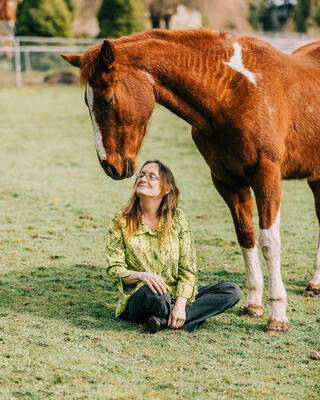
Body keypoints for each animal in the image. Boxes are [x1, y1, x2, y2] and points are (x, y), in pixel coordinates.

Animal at [62, 29, 320, 332]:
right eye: (88, 102)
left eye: (107, 99)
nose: (110, 166)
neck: (235, 93)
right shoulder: (228, 182)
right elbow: (246, 236)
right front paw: (253, 304)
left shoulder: (267, 177)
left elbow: (269, 243)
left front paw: (277, 315)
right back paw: (314, 284)